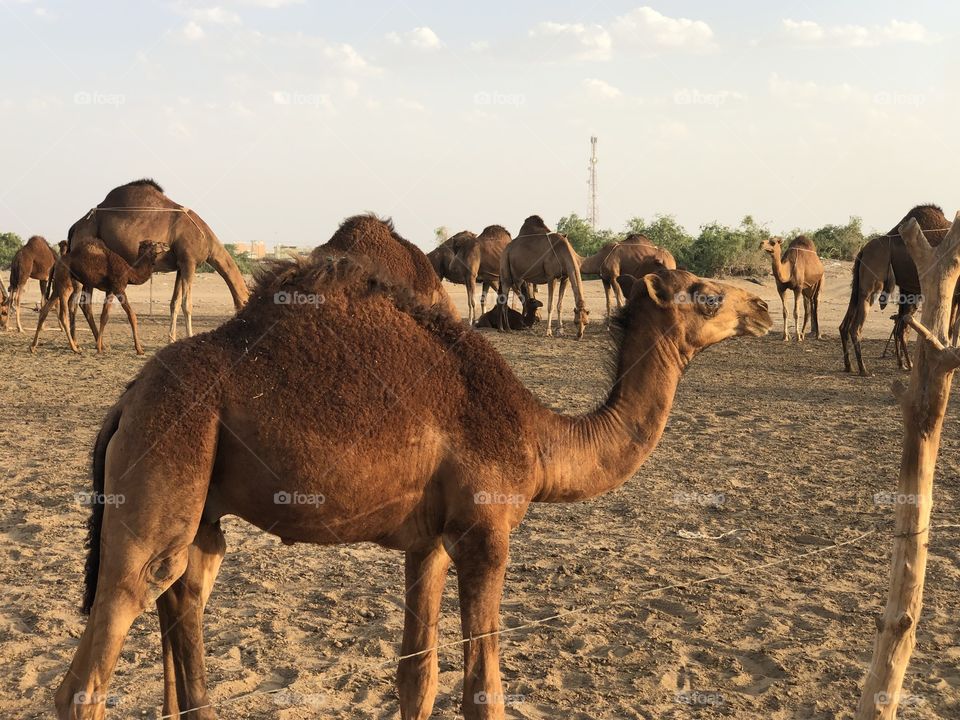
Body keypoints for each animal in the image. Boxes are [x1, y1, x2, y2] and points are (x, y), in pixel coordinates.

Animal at [31, 239, 167, 355]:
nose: (166, 245)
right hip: (66, 283)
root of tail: (56, 263)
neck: (130, 273)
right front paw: (139, 350)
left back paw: (33, 346)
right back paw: (74, 348)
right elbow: (131, 316)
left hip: (58, 285)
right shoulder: (119, 288)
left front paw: (100, 347)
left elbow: (104, 316)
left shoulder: (110, 290)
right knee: (63, 314)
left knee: (45, 310)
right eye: (154, 243)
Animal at [55, 254, 771, 720]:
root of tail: (126, 399)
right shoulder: (485, 535)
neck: (539, 439)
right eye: (704, 293)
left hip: (201, 502)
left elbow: (417, 678)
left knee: (185, 587)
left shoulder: (428, 543)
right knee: (100, 653)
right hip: (165, 456)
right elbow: (483, 694)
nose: (762, 307)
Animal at [67, 179, 248, 342]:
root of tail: (75, 226)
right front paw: (189, 336)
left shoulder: (180, 266)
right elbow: (187, 304)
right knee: (83, 302)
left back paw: (81, 341)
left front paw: (171, 339)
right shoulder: (189, 261)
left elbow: (175, 303)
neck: (207, 241)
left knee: (81, 302)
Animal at [840, 205, 953, 376]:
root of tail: (863, 250)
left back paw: (849, 366)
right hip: (872, 282)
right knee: (857, 327)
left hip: (858, 284)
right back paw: (864, 369)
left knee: (845, 325)